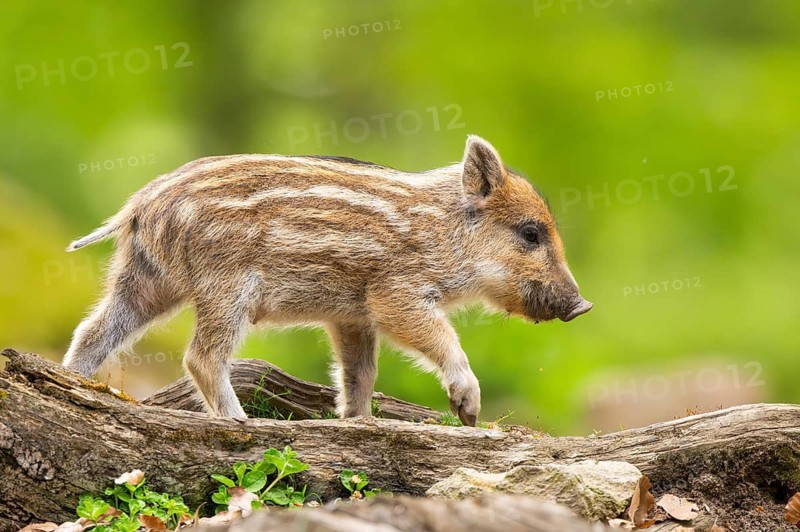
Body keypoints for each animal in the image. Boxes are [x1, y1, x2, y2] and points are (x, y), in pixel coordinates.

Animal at [62, 135, 591, 426]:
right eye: (530, 233)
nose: (582, 306)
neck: (440, 230)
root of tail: (139, 205)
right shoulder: (393, 294)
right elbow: (440, 337)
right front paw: (468, 410)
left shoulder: (351, 316)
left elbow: (360, 372)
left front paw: (358, 421)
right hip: (225, 287)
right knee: (201, 356)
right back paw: (239, 420)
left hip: (147, 281)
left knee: (92, 331)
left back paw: (74, 384)